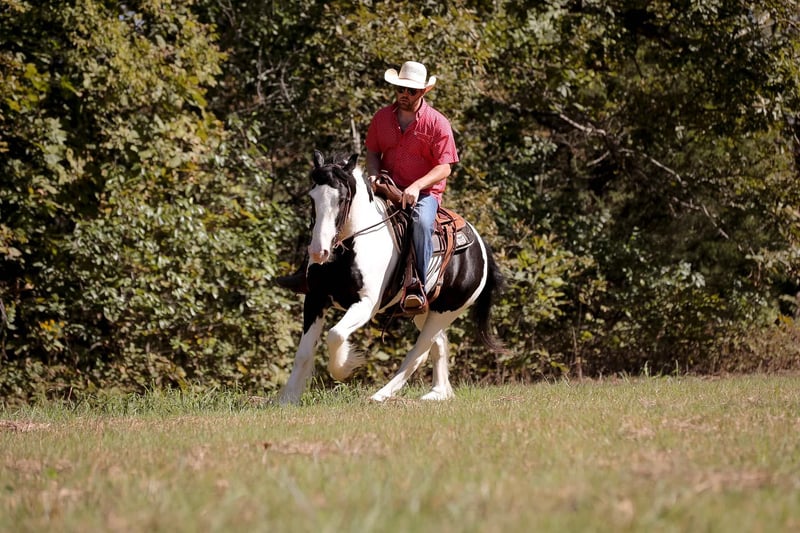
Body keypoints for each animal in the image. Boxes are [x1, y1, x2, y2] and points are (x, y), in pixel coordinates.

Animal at [277, 150, 504, 404]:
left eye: (343, 199)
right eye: (312, 197)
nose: (319, 252)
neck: (349, 247)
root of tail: (481, 247)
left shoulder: (366, 304)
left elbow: (335, 335)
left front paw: (346, 366)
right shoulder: (315, 299)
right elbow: (304, 352)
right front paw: (287, 399)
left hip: (445, 312)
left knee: (418, 354)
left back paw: (380, 395)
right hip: (425, 312)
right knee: (438, 344)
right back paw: (438, 393)